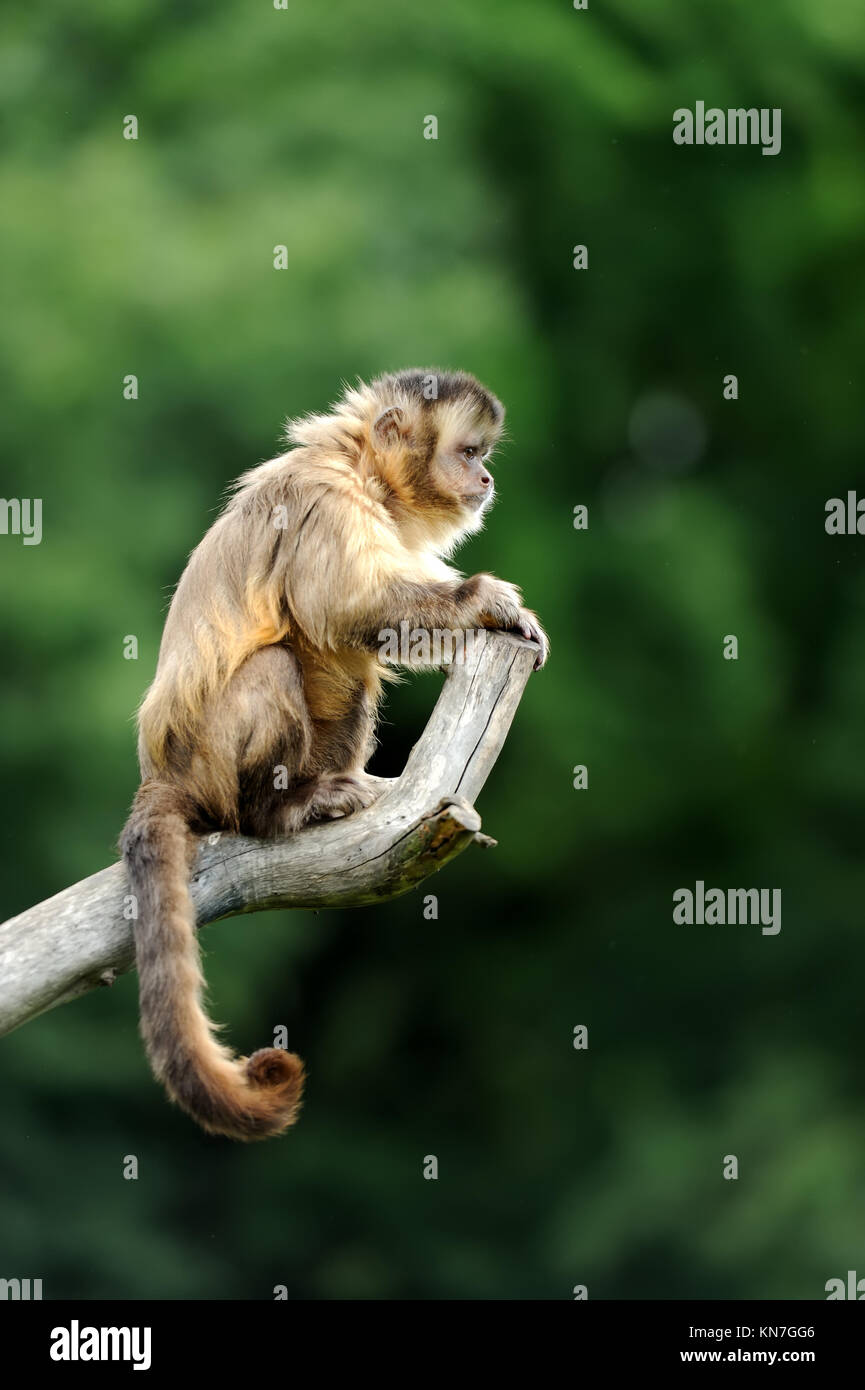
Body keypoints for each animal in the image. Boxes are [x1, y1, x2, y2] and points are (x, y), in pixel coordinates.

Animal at [120, 369, 547, 1139]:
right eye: (469, 451)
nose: (486, 476)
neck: (364, 472)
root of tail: (159, 772)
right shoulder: (326, 501)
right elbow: (344, 607)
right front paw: (485, 601)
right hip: (205, 764)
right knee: (281, 664)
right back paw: (277, 812)